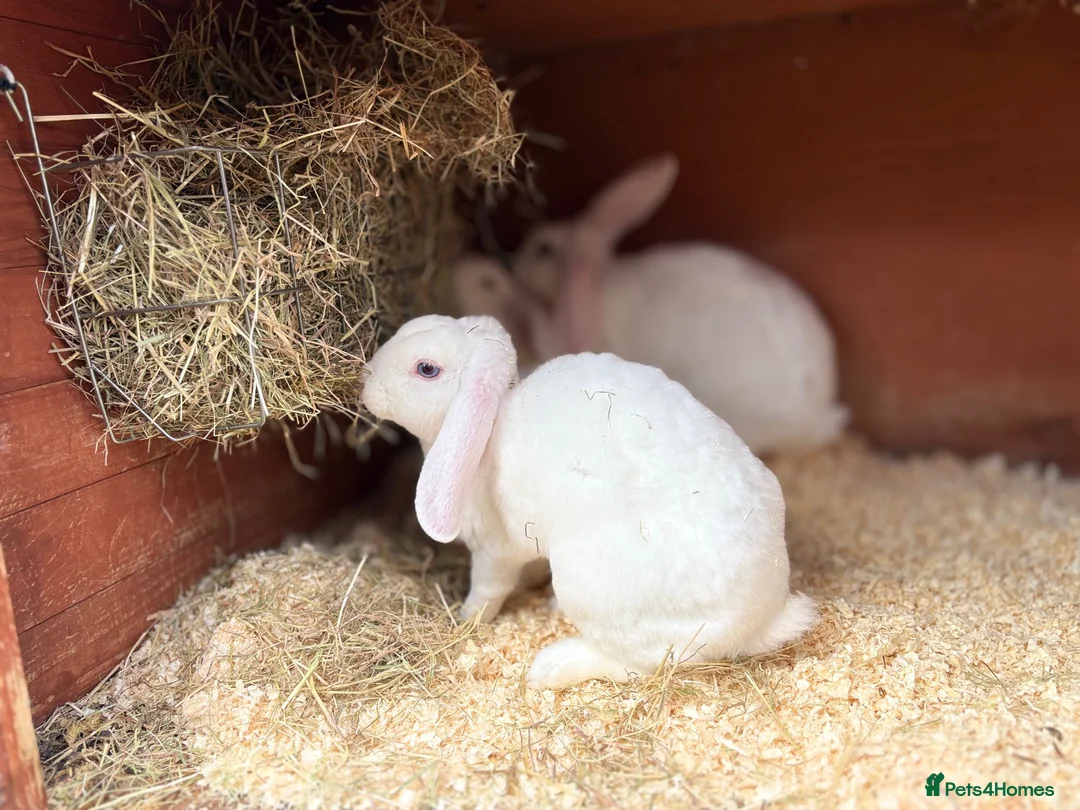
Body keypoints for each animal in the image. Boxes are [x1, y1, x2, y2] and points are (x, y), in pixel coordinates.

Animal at [361, 313, 817, 690]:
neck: (486, 423)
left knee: (639, 665)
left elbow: (490, 590)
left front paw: (465, 618)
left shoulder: (493, 549)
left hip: (592, 591)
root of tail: (762, 617)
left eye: (426, 369)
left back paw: (551, 667)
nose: (366, 380)